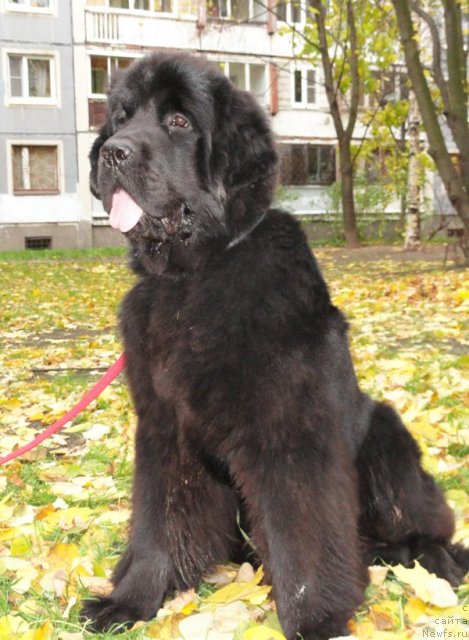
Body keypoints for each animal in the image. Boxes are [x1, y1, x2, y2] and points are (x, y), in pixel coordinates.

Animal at [82, 52, 466, 636]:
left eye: (179, 121)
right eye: (122, 117)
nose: (112, 151)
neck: (194, 276)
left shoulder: (288, 432)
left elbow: (300, 537)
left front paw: (316, 620)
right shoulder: (163, 430)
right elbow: (156, 521)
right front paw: (130, 602)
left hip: (386, 432)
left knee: (431, 527)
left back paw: (430, 562)